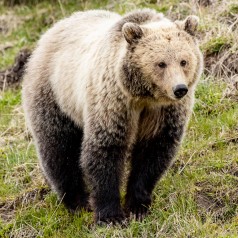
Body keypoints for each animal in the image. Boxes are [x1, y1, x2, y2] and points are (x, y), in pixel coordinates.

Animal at [22, 9, 203, 224]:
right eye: (161, 63)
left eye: (184, 61)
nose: (179, 89)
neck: (144, 97)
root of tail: (51, 31)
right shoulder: (114, 102)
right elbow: (106, 149)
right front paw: (111, 216)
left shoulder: (164, 113)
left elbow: (154, 153)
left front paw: (137, 206)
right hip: (54, 94)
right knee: (58, 147)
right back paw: (77, 201)